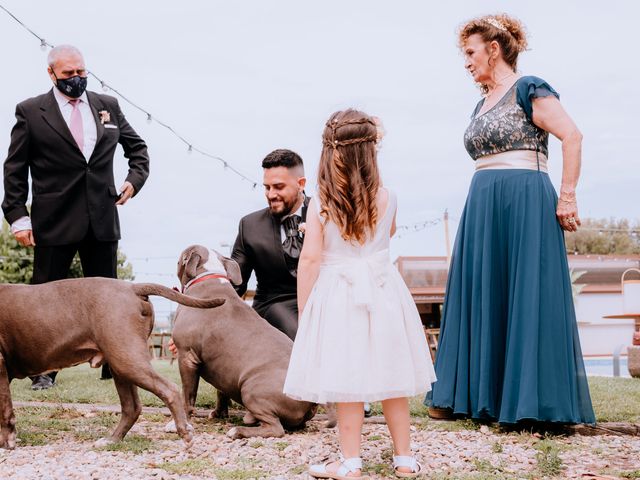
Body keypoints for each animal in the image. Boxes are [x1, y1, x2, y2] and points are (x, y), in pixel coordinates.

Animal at [0, 278, 225, 450]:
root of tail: (132, 288)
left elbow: (5, 409)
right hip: (120, 363)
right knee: (132, 407)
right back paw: (112, 440)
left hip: (126, 358)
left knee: (169, 389)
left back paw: (184, 432)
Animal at [171, 246, 318, 436]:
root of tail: (310, 399)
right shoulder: (222, 368)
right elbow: (221, 392)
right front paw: (219, 414)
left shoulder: (187, 357)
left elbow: (188, 396)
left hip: (251, 389)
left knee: (275, 428)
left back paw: (237, 431)